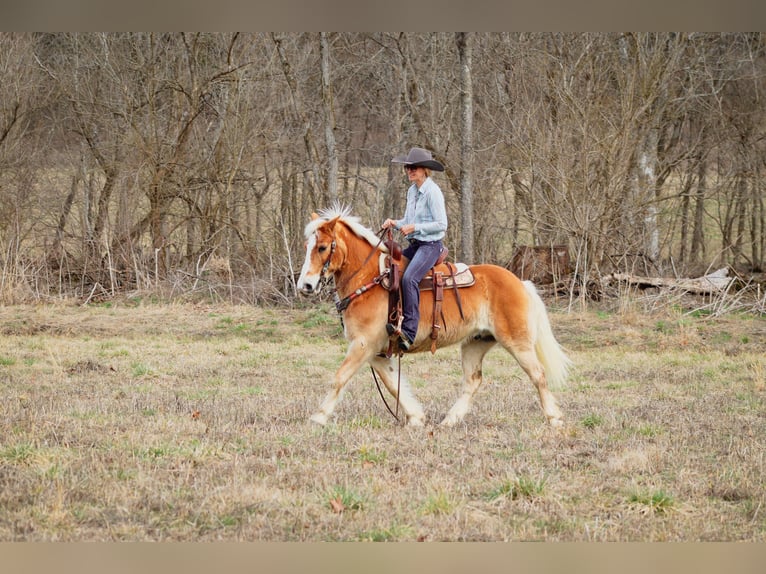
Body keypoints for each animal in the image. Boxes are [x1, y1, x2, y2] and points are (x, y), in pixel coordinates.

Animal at [296, 206, 572, 428]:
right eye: (307, 247)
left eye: (322, 247)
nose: (305, 286)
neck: (370, 280)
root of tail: (519, 282)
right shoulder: (376, 351)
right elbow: (391, 383)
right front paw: (416, 417)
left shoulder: (363, 344)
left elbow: (340, 378)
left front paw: (319, 416)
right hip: (475, 343)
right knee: (473, 381)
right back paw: (450, 420)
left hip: (517, 342)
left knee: (538, 374)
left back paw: (554, 418)